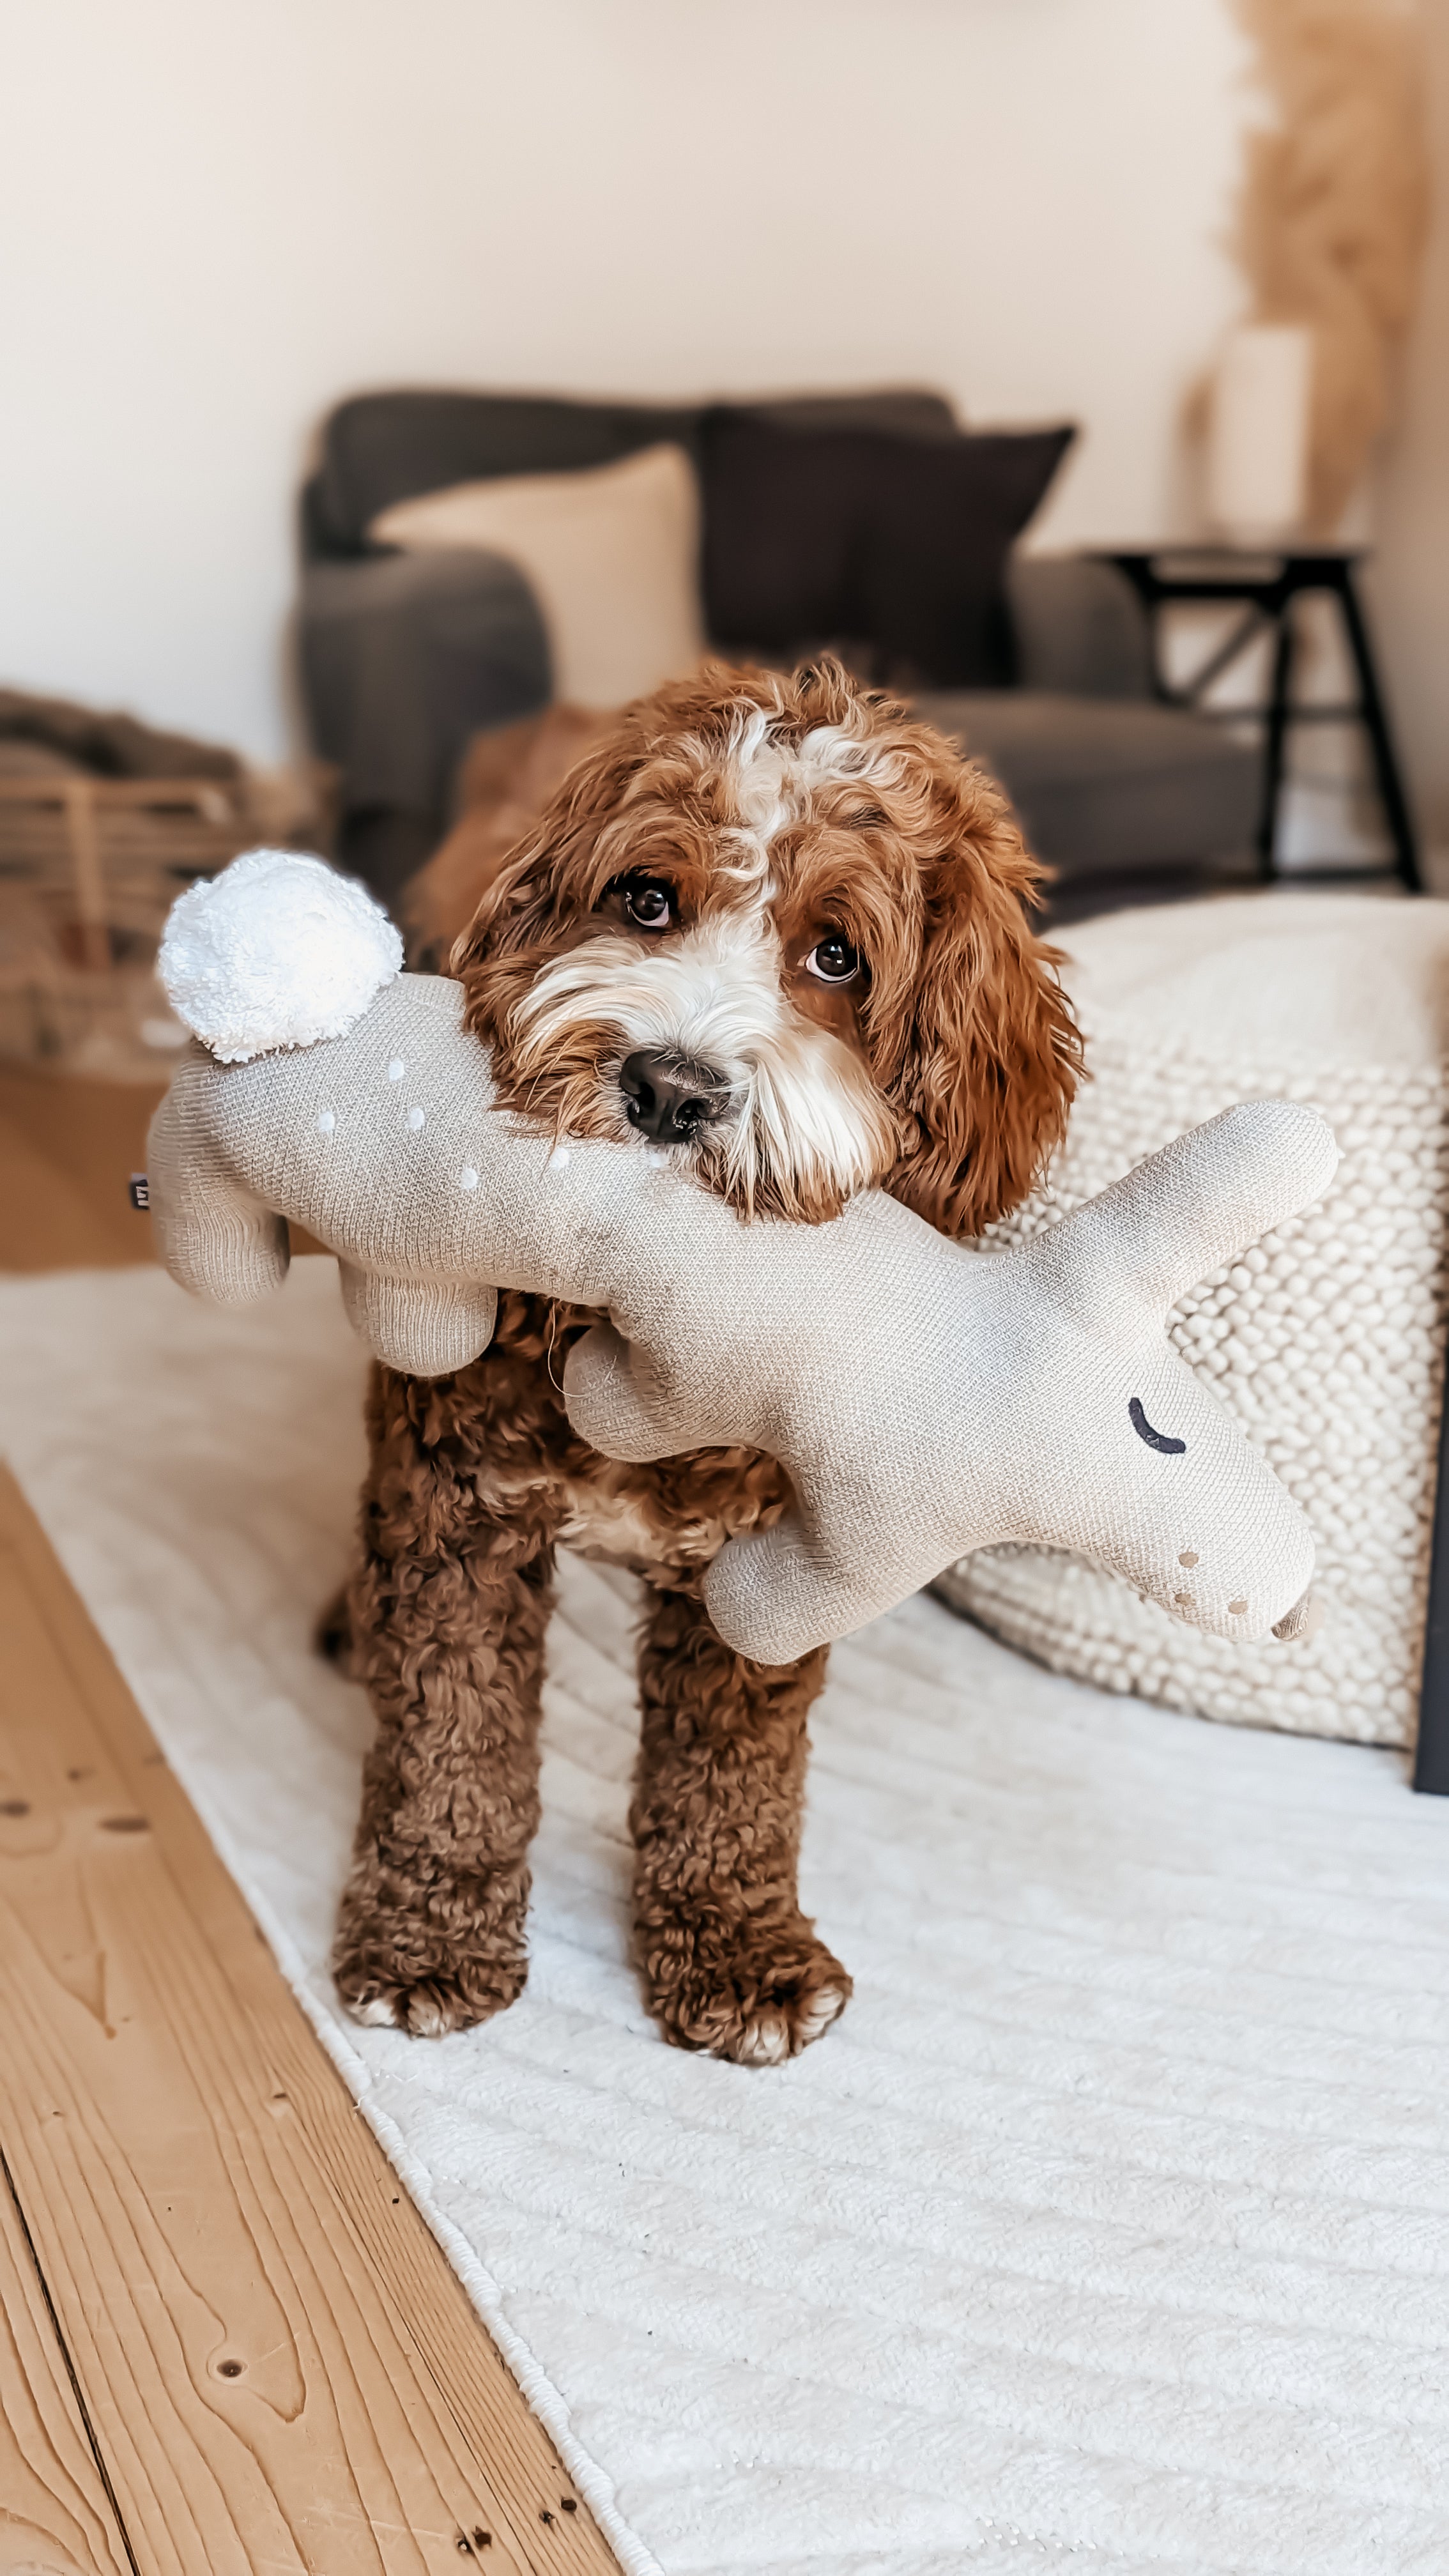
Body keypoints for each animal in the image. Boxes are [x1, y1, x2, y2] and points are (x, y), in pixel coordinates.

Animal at [327, 670, 1072, 2071]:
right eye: (644, 900)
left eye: (837, 955)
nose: (668, 1088)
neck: (646, 1332)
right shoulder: (460, 1498)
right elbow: (452, 1736)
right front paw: (426, 1936)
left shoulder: (763, 1561)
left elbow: (733, 1773)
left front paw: (736, 1948)